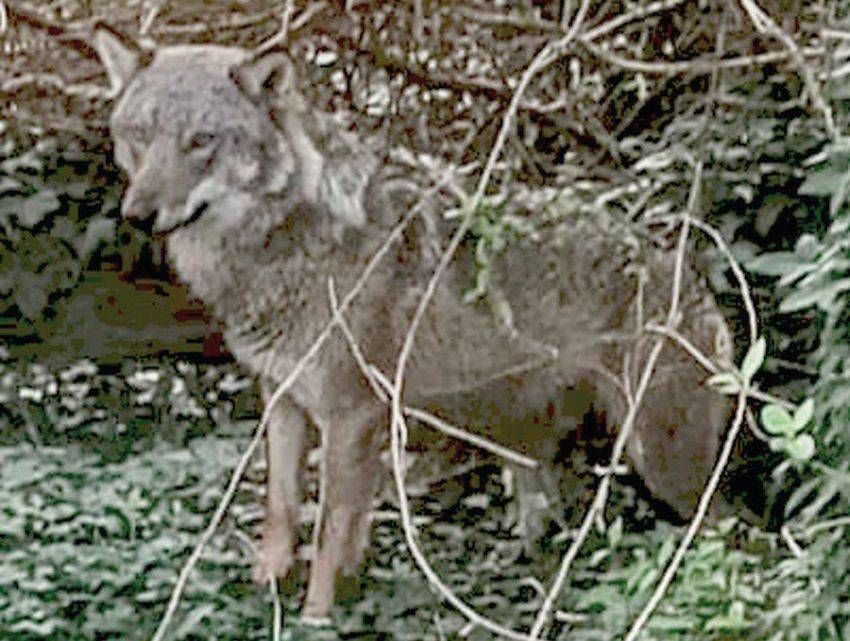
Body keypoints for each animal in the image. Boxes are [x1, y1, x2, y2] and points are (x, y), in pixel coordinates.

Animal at [92, 26, 734, 620]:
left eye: (200, 141)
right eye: (141, 136)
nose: (139, 214)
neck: (285, 249)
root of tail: (694, 280)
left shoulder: (350, 417)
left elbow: (327, 533)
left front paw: (315, 617)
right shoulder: (283, 401)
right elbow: (282, 509)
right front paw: (268, 587)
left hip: (661, 465)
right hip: (533, 451)